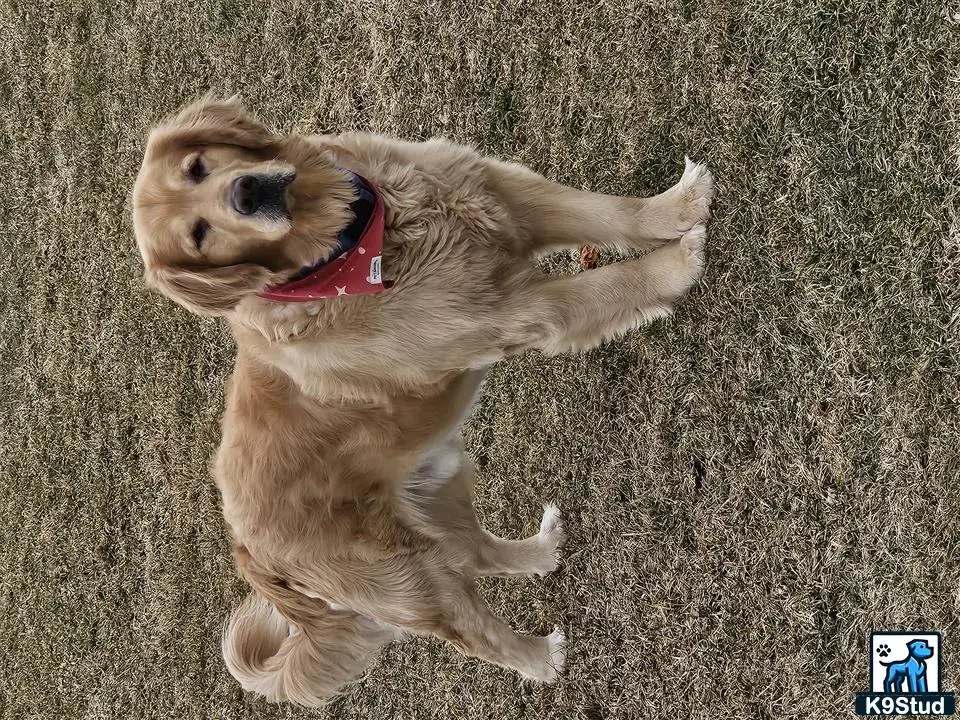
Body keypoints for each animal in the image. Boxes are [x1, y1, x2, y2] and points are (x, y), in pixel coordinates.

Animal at [133, 95, 712, 704]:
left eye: (197, 166)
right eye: (199, 235)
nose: (245, 193)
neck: (354, 242)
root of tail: (246, 549)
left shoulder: (501, 192)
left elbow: (610, 213)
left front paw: (680, 204)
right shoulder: (515, 311)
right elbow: (603, 286)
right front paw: (678, 262)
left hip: (439, 483)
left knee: (476, 552)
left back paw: (541, 550)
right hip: (410, 578)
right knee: (473, 631)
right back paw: (539, 658)